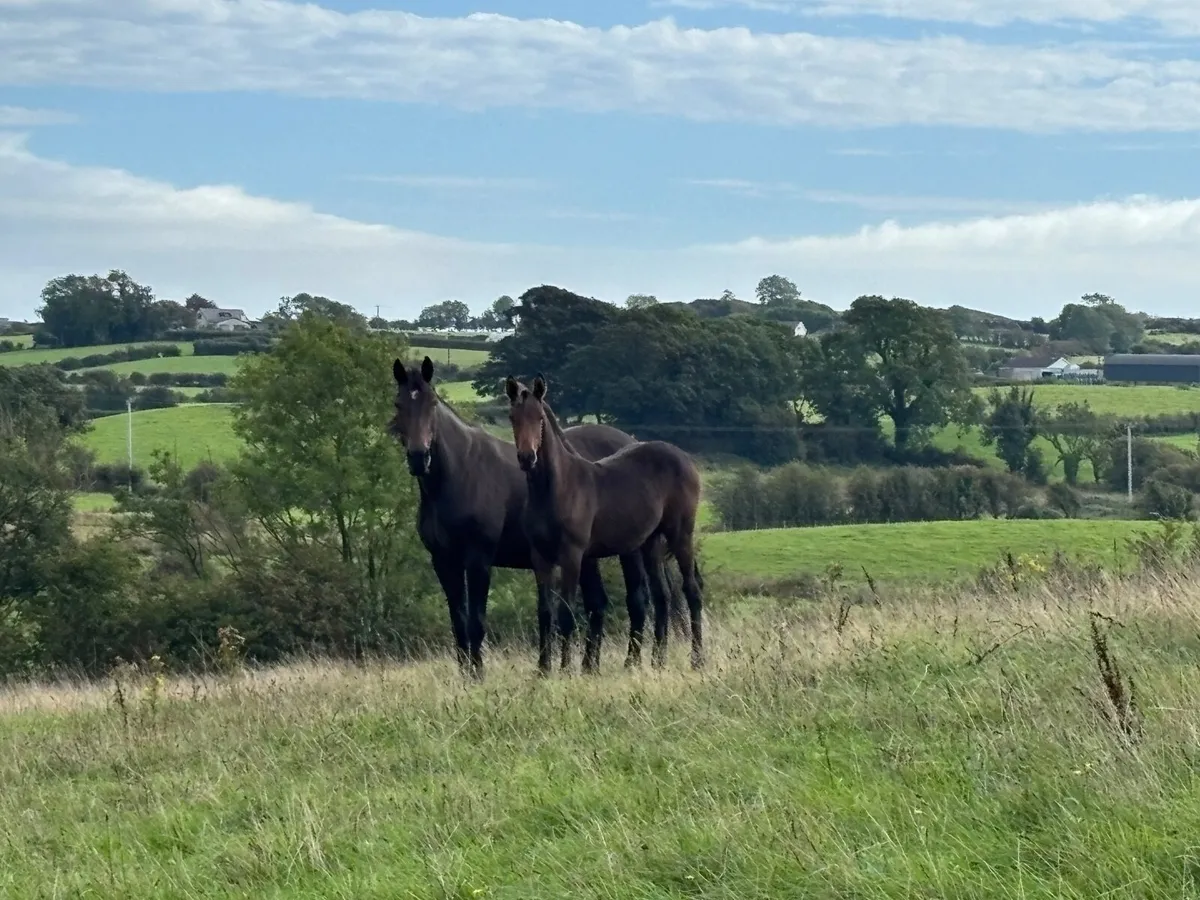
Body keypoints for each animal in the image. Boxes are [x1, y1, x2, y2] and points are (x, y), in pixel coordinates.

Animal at [389, 356, 669, 680]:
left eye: (432, 403)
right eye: (399, 404)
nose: (419, 458)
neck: (461, 473)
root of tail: (630, 440)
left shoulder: (478, 559)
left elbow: (476, 621)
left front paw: (478, 676)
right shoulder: (443, 561)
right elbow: (458, 623)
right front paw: (465, 676)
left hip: (629, 550)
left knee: (637, 601)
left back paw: (631, 664)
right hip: (589, 557)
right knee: (598, 604)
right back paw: (590, 667)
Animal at [504, 374, 706, 671]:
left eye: (539, 417)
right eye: (512, 417)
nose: (527, 458)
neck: (557, 489)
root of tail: (684, 458)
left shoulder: (572, 555)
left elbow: (566, 612)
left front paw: (565, 669)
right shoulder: (540, 557)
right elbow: (545, 612)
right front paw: (543, 669)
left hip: (680, 534)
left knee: (691, 590)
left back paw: (698, 660)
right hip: (650, 542)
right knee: (662, 595)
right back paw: (657, 661)